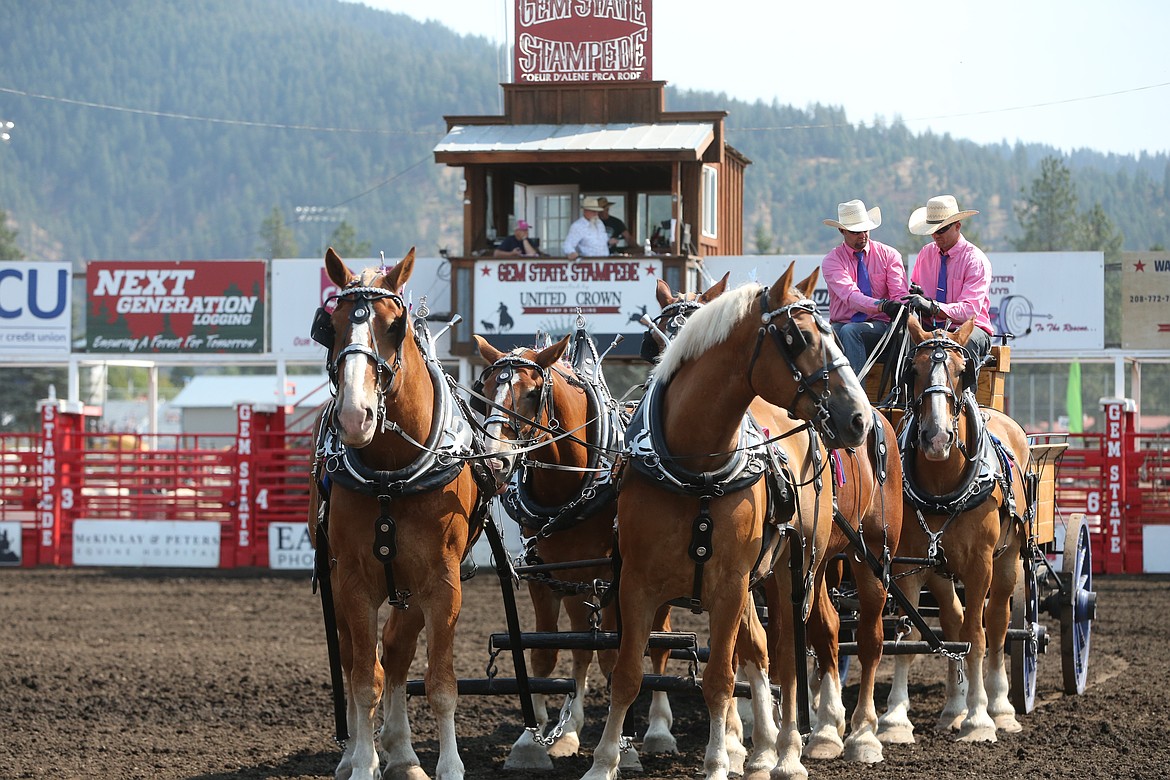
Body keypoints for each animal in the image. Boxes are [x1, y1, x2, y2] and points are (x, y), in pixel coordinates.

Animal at [308, 249, 491, 780]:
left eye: (394, 325)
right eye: (332, 325)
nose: (354, 416)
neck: (392, 474)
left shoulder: (443, 583)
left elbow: (440, 682)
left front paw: (449, 766)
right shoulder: (351, 582)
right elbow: (362, 678)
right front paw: (363, 762)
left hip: (409, 587)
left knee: (396, 651)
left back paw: (405, 755)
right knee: (359, 658)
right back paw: (358, 753)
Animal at [470, 332, 664, 771]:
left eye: (532, 392)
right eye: (483, 392)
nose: (496, 461)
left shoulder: (616, 580)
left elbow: (614, 657)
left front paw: (623, 747)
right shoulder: (544, 576)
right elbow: (546, 654)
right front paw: (531, 741)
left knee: (660, 646)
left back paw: (661, 730)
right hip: (575, 582)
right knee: (580, 644)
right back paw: (569, 729)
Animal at [580, 264, 875, 780]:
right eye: (799, 336)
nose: (858, 419)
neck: (695, 470)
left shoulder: (730, 584)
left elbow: (720, 677)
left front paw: (718, 761)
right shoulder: (636, 583)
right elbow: (627, 674)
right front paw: (603, 762)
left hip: (793, 572)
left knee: (788, 658)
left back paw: (791, 751)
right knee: (760, 648)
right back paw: (762, 750)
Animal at [650, 275, 903, 767]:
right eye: (656, 337)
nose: (855, 418)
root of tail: (883, 418)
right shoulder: (746, 575)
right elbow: (750, 647)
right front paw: (742, 738)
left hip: (867, 554)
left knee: (868, 636)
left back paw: (861, 732)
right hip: (817, 563)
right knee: (825, 628)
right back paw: (824, 727)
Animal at [879, 318, 1034, 743]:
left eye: (963, 372)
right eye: (912, 371)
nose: (936, 437)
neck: (942, 487)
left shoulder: (980, 565)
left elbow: (976, 637)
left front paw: (979, 720)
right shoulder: (908, 568)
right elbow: (913, 637)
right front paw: (895, 719)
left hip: (1008, 561)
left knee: (995, 623)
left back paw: (999, 708)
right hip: (940, 569)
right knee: (952, 620)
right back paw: (952, 709)